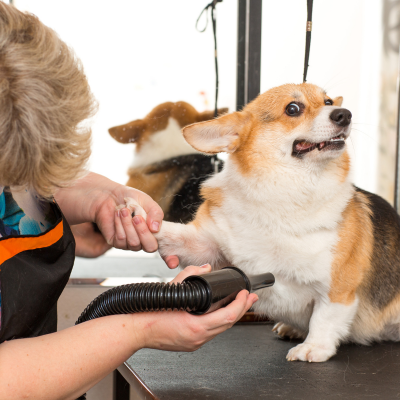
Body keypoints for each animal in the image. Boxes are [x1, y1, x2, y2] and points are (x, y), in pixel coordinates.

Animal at [120, 83, 400, 362]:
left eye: (328, 101)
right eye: (293, 108)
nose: (344, 114)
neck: (283, 193)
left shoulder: (338, 287)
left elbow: (324, 318)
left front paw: (313, 347)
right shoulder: (206, 247)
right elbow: (170, 232)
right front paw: (136, 215)